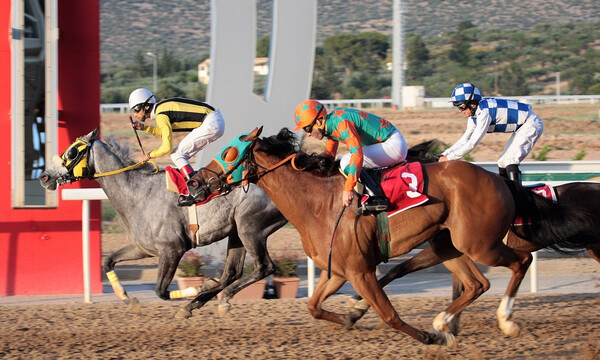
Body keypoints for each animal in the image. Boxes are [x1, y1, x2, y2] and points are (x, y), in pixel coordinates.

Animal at [38, 128, 288, 316]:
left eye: (72, 152)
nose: (44, 176)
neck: (138, 193)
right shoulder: (142, 248)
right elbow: (108, 261)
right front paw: (127, 299)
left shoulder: (172, 249)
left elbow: (161, 291)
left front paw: (202, 285)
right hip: (237, 233)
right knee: (232, 273)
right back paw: (208, 301)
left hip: (250, 228)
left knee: (264, 267)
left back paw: (214, 297)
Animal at [191, 128, 596, 348]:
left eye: (227, 152)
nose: (195, 182)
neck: (318, 204)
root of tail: (499, 180)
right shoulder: (338, 272)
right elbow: (314, 307)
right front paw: (350, 317)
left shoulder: (360, 271)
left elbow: (389, 315)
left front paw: (428, 338)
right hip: (450, 244)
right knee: (477, 284)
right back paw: (445, 322)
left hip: (480, 243)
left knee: (520, 262)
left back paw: (503, 320)